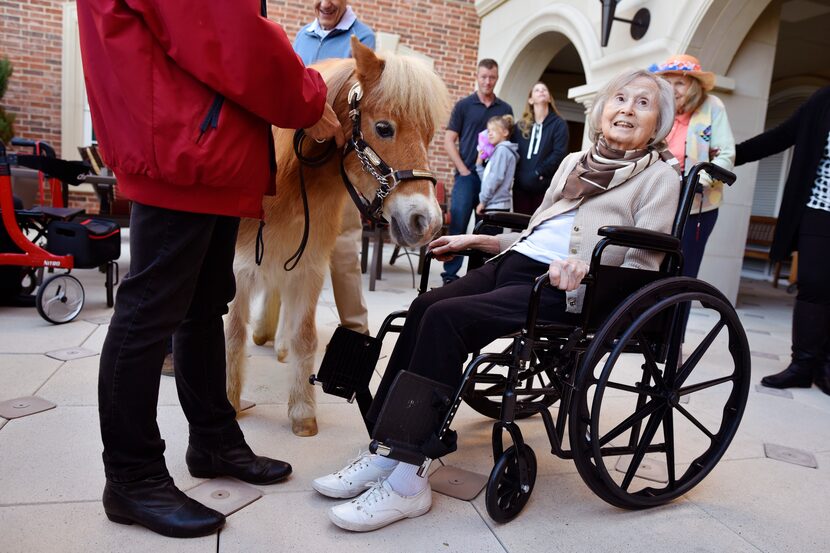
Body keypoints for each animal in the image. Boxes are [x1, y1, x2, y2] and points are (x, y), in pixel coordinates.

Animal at [224, 40, 452, 436]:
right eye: (384, 128)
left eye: (428, 134)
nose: (427, 221)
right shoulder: (240, 266)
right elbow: (234, 332)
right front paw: (230, 401)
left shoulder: (309, 264)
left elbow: (305, 334)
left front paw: (302, 412)